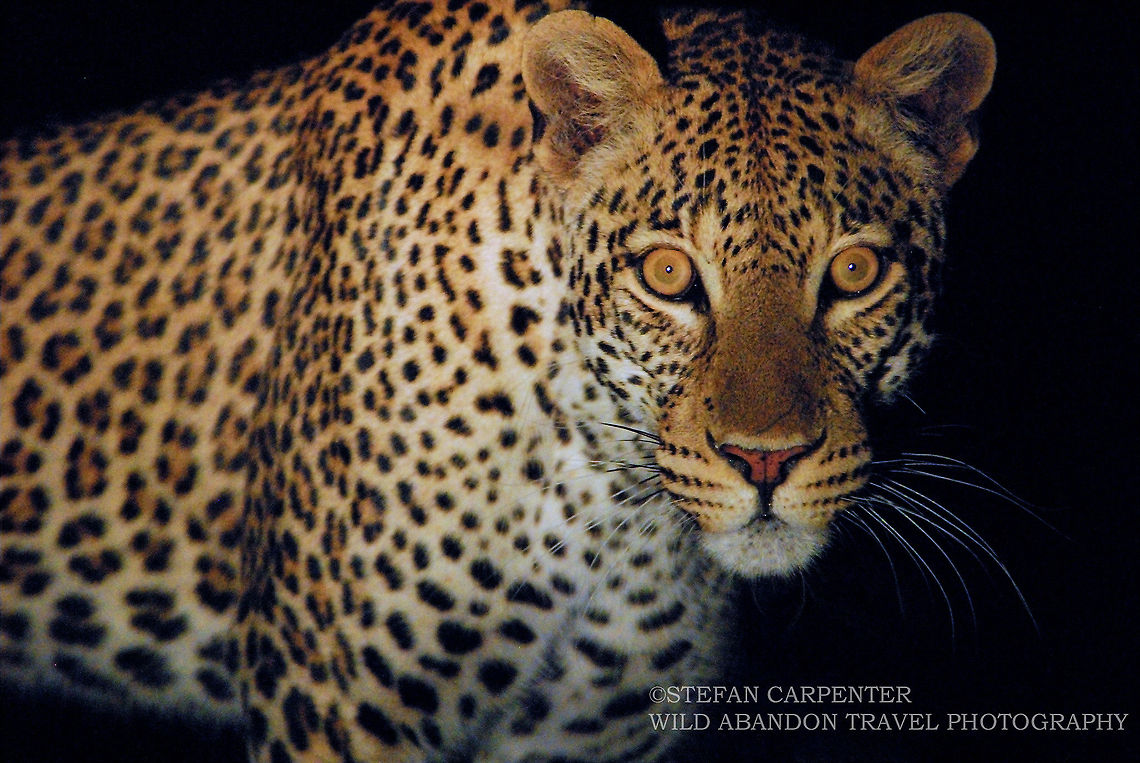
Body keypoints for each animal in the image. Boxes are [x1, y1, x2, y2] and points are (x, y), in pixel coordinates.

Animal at [0, 1, 996, 760]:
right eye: (668, 274)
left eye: (855, 273)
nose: (765, 462)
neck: (606, 498)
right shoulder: (331, 704)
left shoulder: (593, 733)